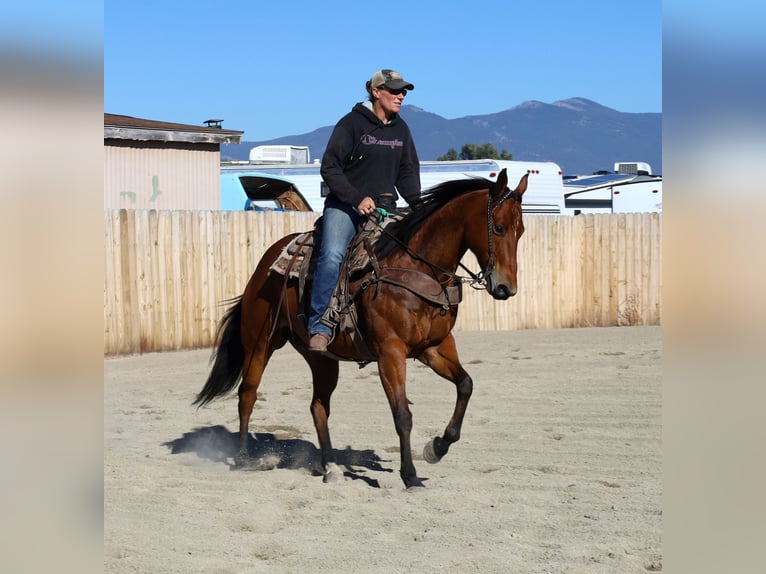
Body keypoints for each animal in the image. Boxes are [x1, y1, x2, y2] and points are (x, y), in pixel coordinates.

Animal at [194, 168, 528, 489]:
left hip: (321, 358)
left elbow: (465, 385)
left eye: (521, 230)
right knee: (247, 394)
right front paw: (410, 475)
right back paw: (243, 458)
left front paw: (437, 447)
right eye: (498, 227)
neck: (419, 268)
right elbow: (402, 414)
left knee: (318, 406)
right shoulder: (390, 353)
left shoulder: (435, 347)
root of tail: (264, 264)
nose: (506, 288)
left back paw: (330, 467)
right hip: (260, 341)